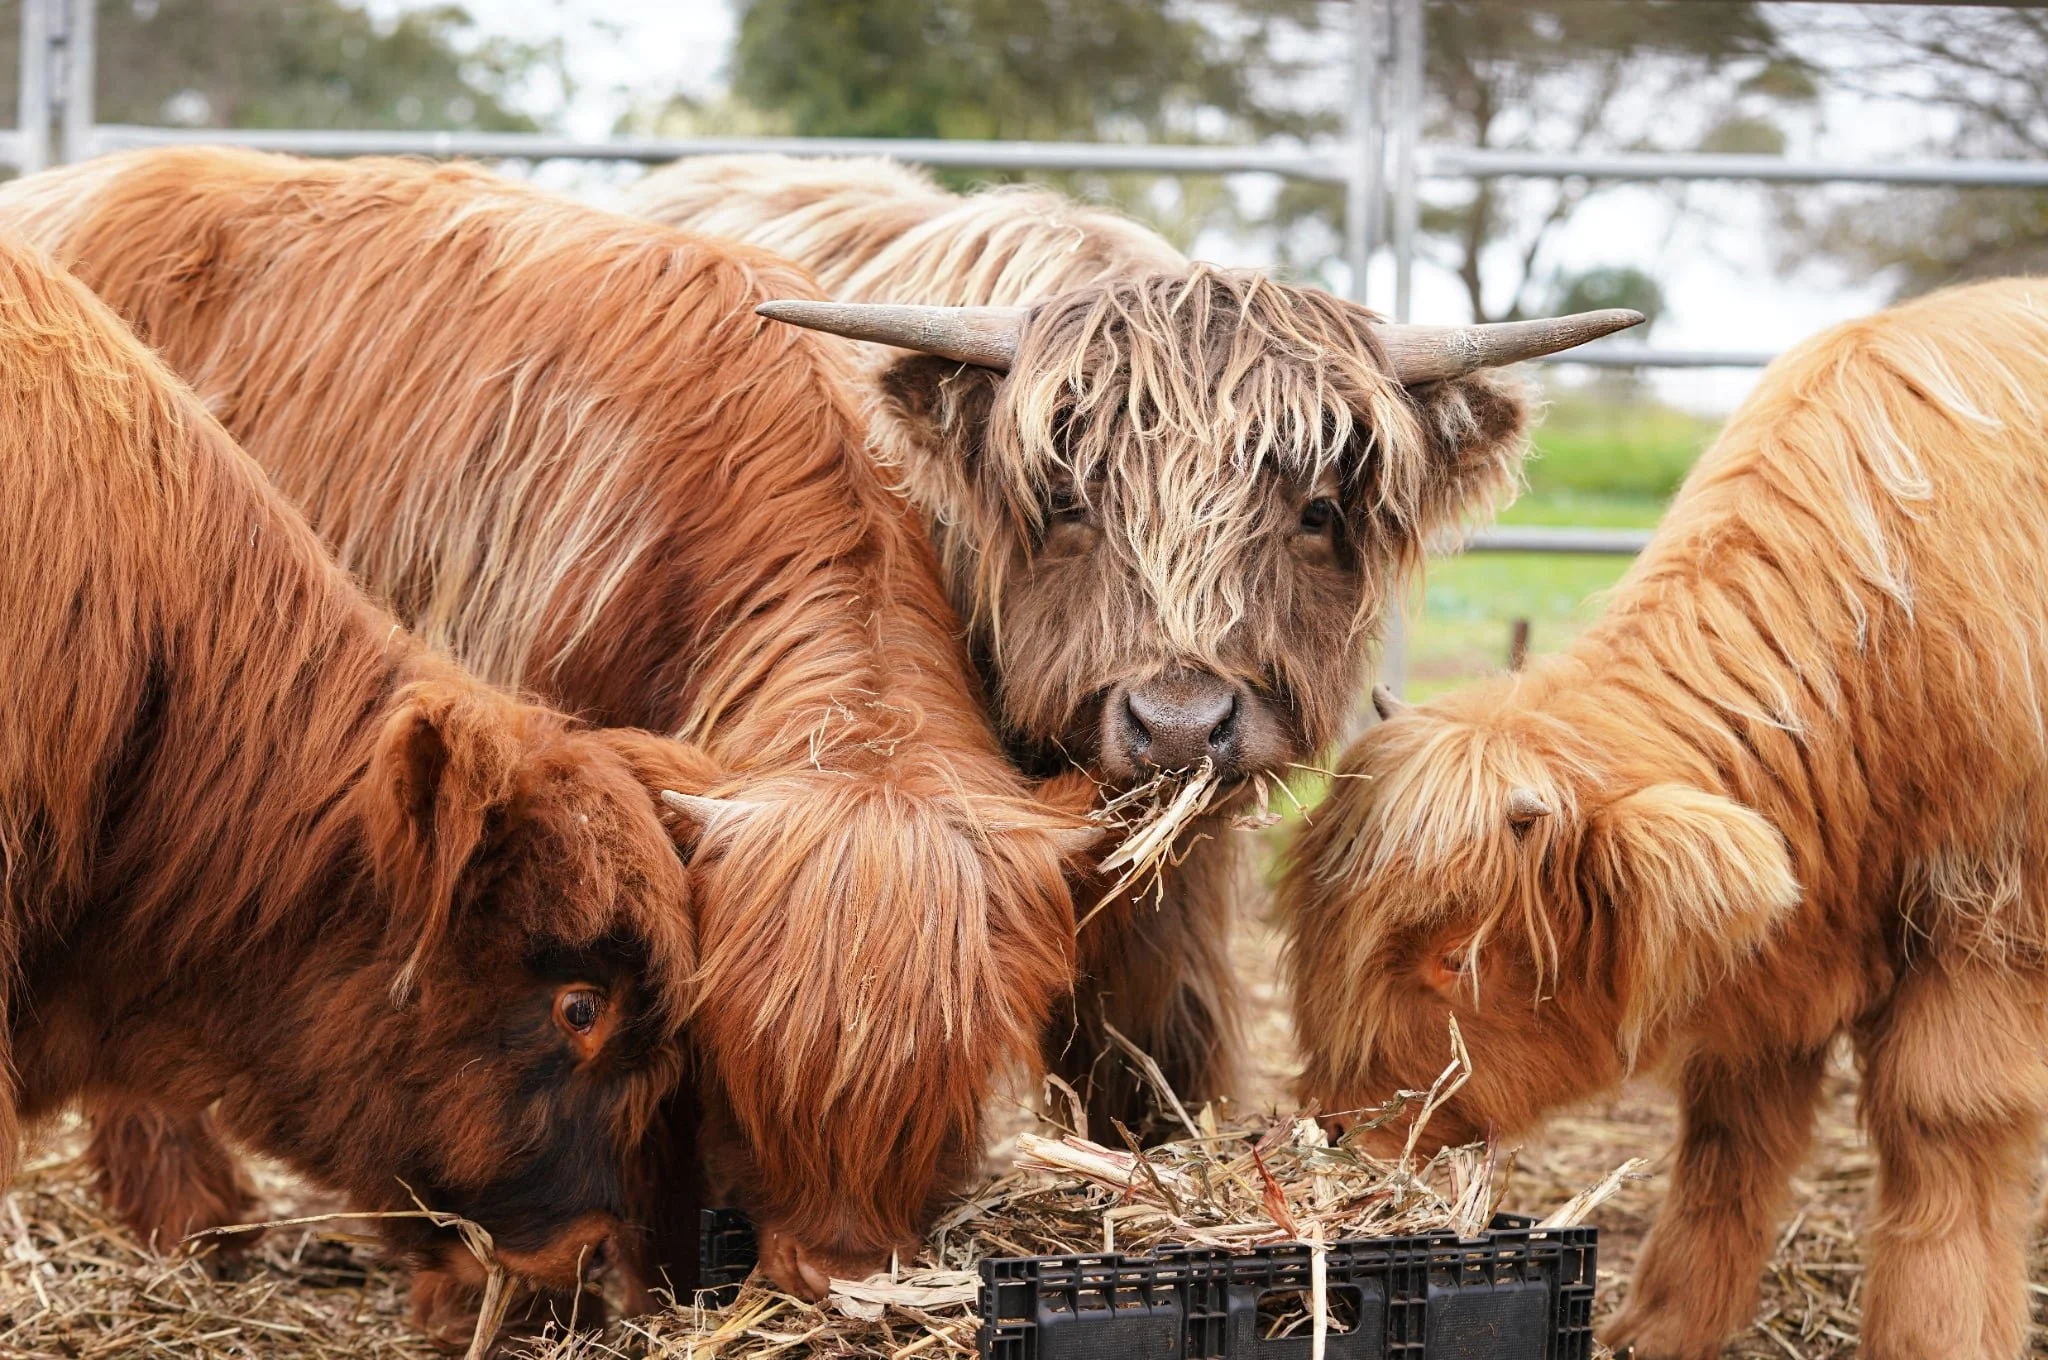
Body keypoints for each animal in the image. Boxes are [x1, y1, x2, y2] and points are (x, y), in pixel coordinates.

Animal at [1281, 278, 2048, 1360]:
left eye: (1455, 958)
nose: (1339, 1135)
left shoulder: (1990, 915)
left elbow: (1946, 1118)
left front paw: (1936, 1335)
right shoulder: (1769, 956)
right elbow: (1732, 1127)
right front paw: (1662, 1323)